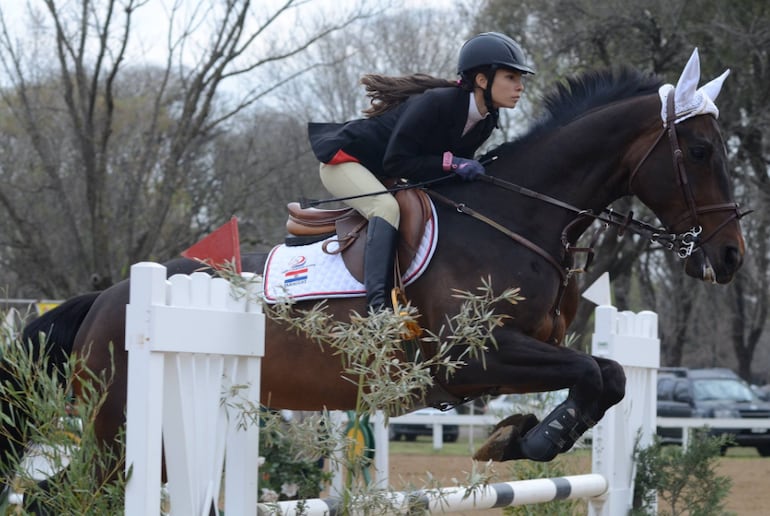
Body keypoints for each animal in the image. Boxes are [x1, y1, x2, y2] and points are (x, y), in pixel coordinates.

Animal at [7, 48, 744, 484]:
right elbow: (594, 373)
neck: (521, 219)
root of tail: (111, 298)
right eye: (701, 150)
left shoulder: (518, 358)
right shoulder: (472, 358)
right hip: (120, 431)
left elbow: (610, 375)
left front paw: (514, 437)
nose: (732, 256)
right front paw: (530, 440)